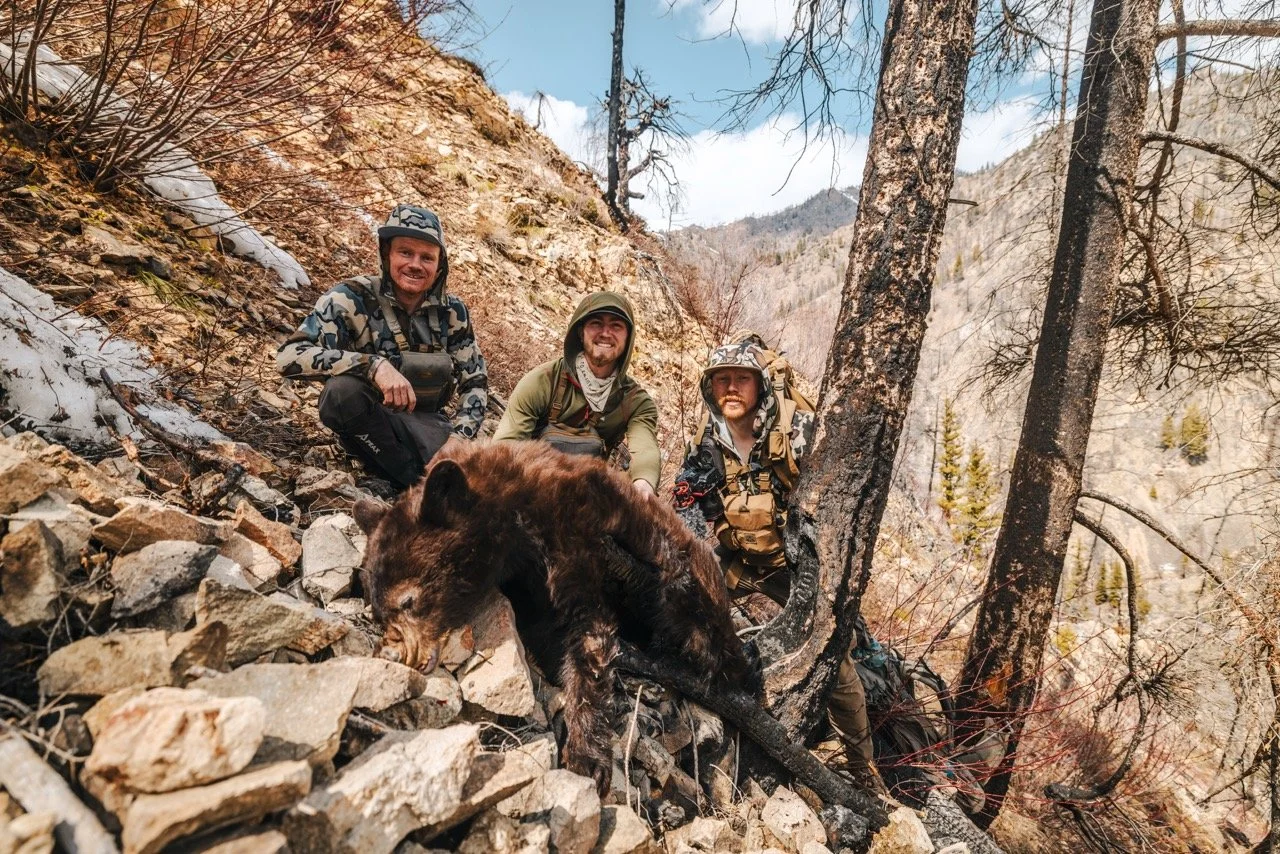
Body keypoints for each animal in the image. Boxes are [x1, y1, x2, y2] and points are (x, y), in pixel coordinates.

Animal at [352, 438, 752, 795]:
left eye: (408, 600)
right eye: (377, 611)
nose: (398, 656)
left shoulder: (572, 528)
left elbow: (588, 631)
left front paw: (587, 757)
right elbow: (546, 627)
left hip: (686, 575)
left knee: (697, 610)